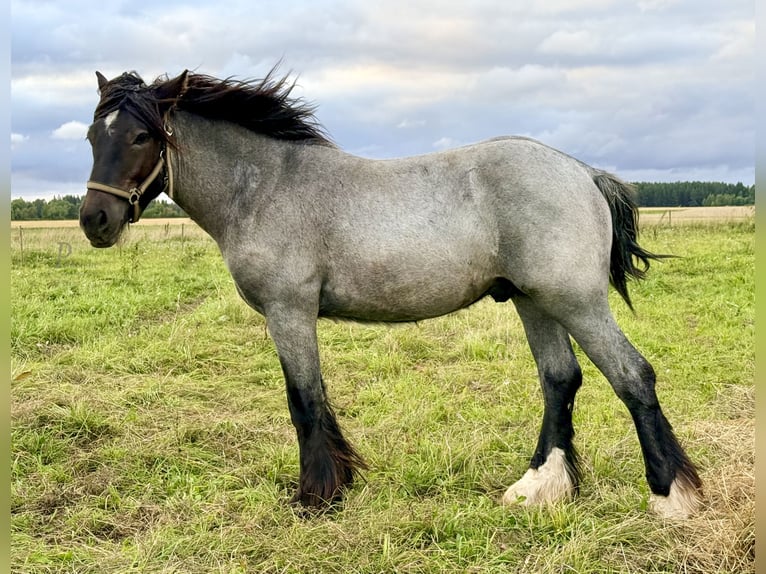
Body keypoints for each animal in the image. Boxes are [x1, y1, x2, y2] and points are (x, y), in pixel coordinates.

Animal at [79, 68, 703, 519]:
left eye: (141, 135)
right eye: (90, 135)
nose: (95, 221)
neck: (264, 185)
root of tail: (581, 172)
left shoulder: (288, 313)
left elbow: (304, 401)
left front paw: (316, 497)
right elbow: (313, 399)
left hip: (574, 301)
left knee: (632, 376)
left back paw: (670, 497)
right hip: (535, 301)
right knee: (560, 380)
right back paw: (538, 489)